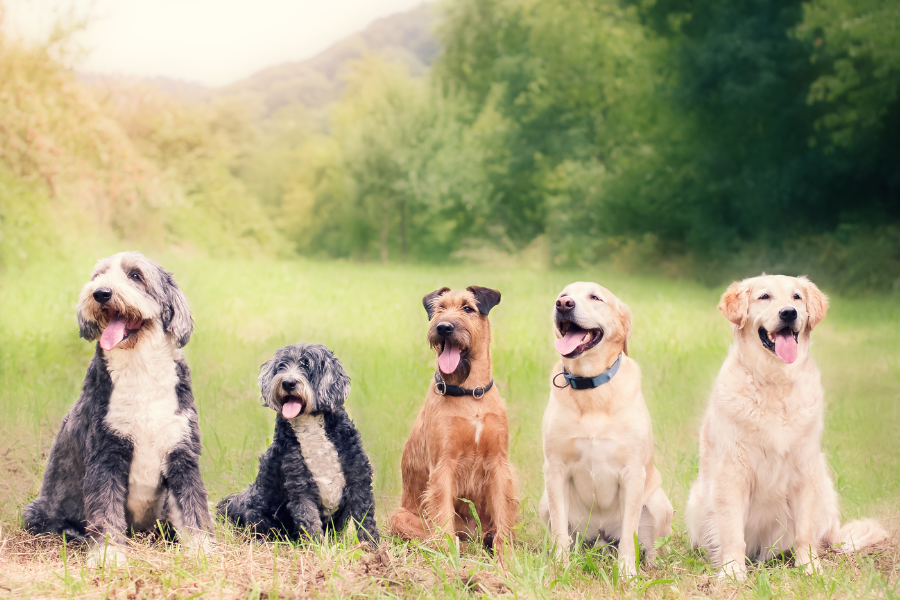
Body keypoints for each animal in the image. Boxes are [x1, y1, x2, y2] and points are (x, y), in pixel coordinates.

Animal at [23, 253, 210, 568]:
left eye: (135, 276)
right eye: (98, 276)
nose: (101, 293)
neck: (140, 368)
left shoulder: (181, 453)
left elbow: (192, 507)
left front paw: (202, 552)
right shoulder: (105, 454)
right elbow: (106, 512)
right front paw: (108, 557)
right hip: (37, 512)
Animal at [219, 342, 380, 544]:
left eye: (306, 365)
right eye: (282, 366)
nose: (288, 382)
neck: (309, 425)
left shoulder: (358, 477)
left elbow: (365, 518)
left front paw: (372, 547)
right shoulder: (300, 486)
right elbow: (309, 521)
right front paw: (317, 548)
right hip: (260, 514)